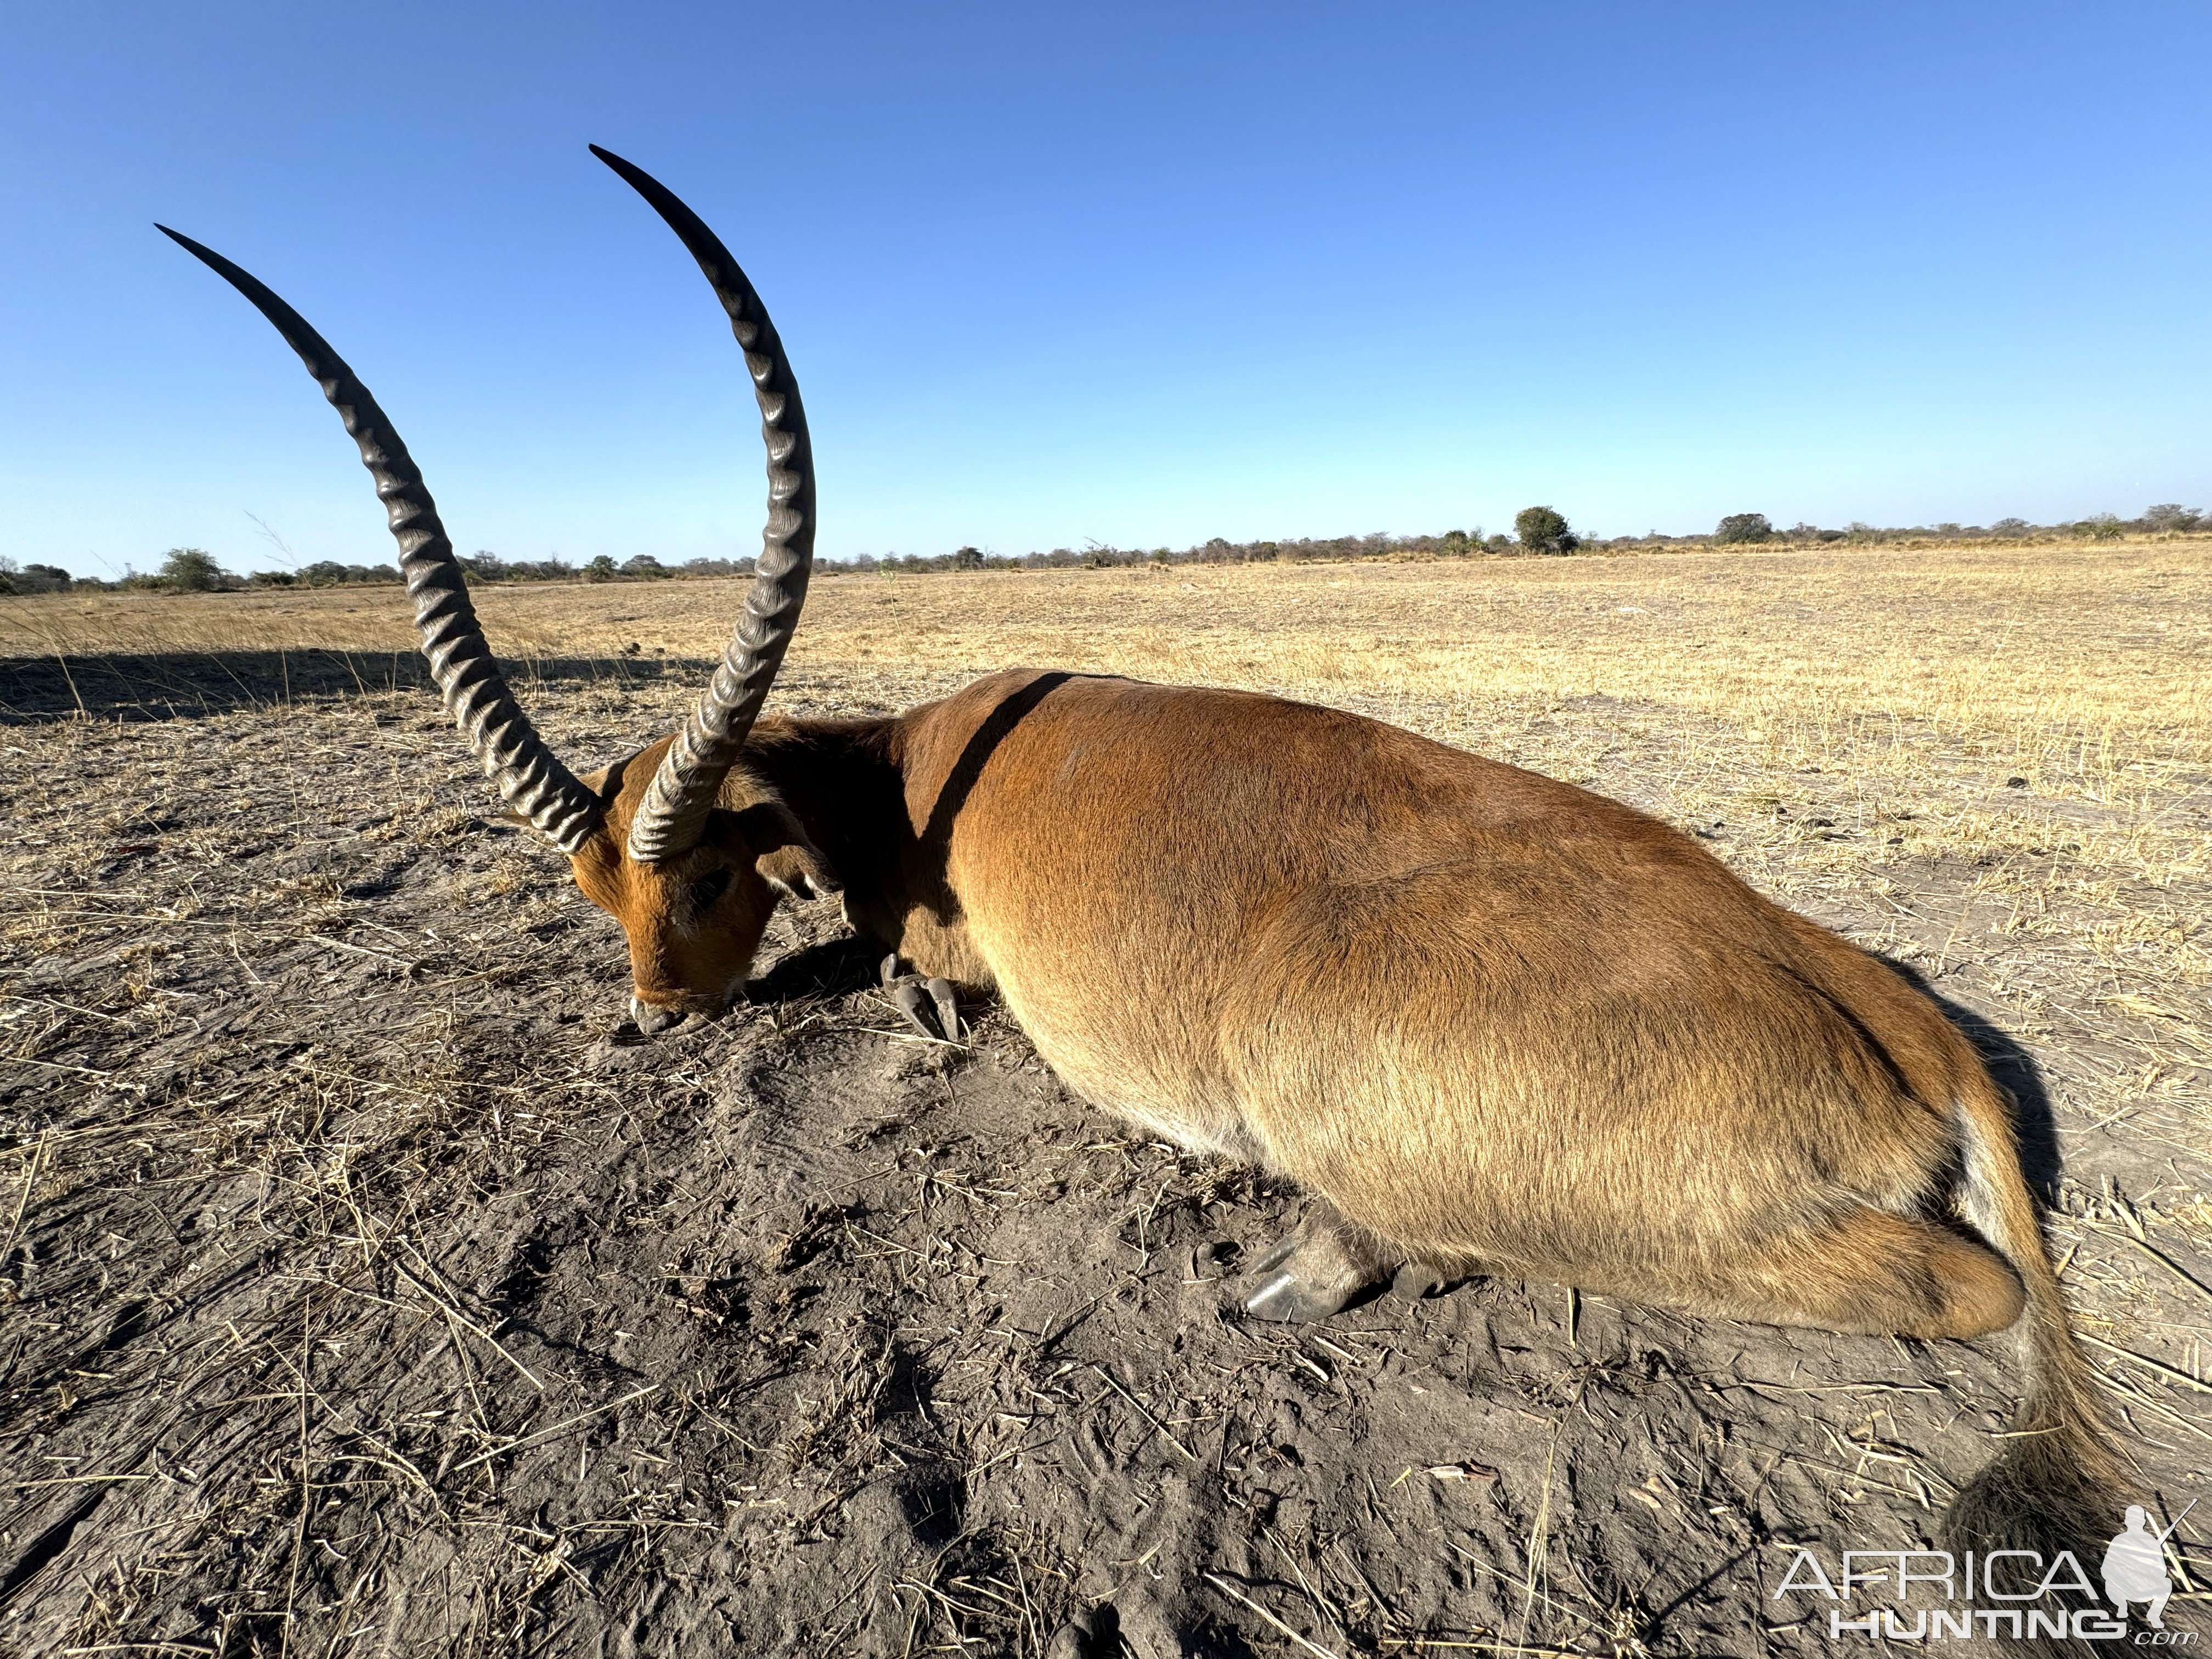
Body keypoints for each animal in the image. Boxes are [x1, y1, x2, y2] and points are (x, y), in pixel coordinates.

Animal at [163, 153, 2114, 1601]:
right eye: (597, 899)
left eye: (703, 878)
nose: (647, 1016)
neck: (914, 767)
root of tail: (1884, 1013)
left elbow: (906, 973)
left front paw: (914, 1003)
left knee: (1973, 1291)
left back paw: (1299, 1266)